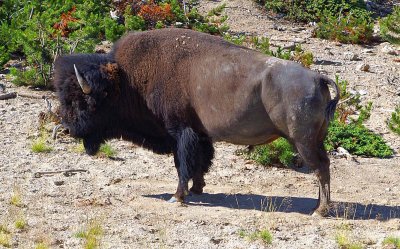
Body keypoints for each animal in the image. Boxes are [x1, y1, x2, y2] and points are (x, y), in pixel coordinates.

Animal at [54, 28, 338, 217]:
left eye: (83, 101)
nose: (67, 129)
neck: (127, 81)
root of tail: (317, 78)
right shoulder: (200, 134)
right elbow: (200, 162)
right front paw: (197, 188)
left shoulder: (180, 132)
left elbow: (183, 163)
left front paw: (178, 197)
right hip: (315, 140)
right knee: (323, 167)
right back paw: (317, 206)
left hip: (302, 141)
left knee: (320, 168)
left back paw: (320, 211)